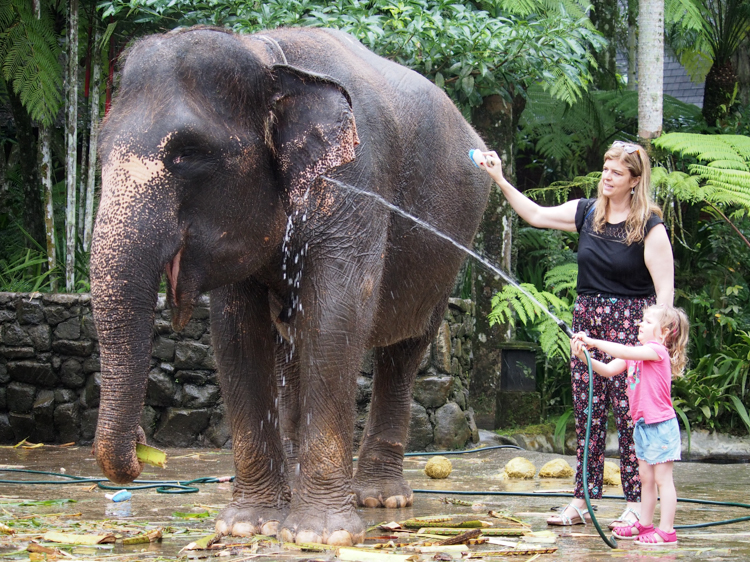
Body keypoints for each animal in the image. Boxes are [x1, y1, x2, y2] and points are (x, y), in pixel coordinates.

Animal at [92, 25, 494, 544]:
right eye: (99, 153)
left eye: (187, 154)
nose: (143, 445)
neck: (269, 56)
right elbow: (236, 332)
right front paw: (248, 524)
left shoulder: (354, 178)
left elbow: (336, 314)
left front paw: (320, 535)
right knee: (292, 349)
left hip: (452, 247)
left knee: (405, 350)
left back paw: (380, 498)